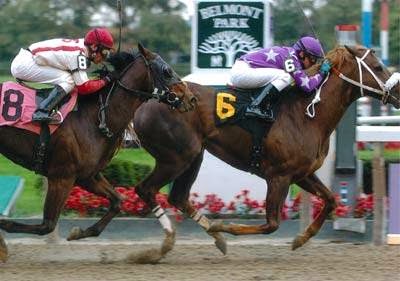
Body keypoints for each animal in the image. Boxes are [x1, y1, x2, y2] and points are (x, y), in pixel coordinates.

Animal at [0, 43, 195, 260]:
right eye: (167, 71)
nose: (191, 98)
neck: (95, 117)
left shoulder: (87, 176)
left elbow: (117, 201)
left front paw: (79, 233)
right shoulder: (62, 176)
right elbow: (47, 225)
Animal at [134, 44, 400, 258]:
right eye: (378, 66)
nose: (398, 91)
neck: (307, 113)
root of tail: (148, 102)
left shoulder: (301, 174)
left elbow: (331, 199)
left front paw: (301, 238)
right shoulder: (279, 176)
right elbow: (272, 224)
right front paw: (223, 226)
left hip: (193, 156)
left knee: (178, 196)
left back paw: (215, 239)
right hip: (176, 158)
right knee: (146, 189)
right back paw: (167, 244)